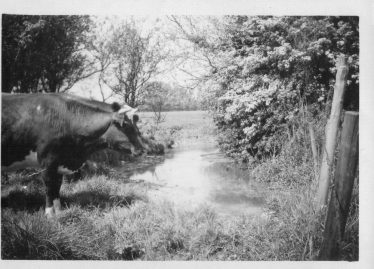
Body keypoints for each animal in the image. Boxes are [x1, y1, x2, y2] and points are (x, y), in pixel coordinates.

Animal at [1, 92, 145, 216]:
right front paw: (49, 213)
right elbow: (49, 186)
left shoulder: (59, 162)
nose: (142, 150)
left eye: (136, 125)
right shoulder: (47, 161)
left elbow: (57, 186)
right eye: (125, 125)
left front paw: (59, 210)